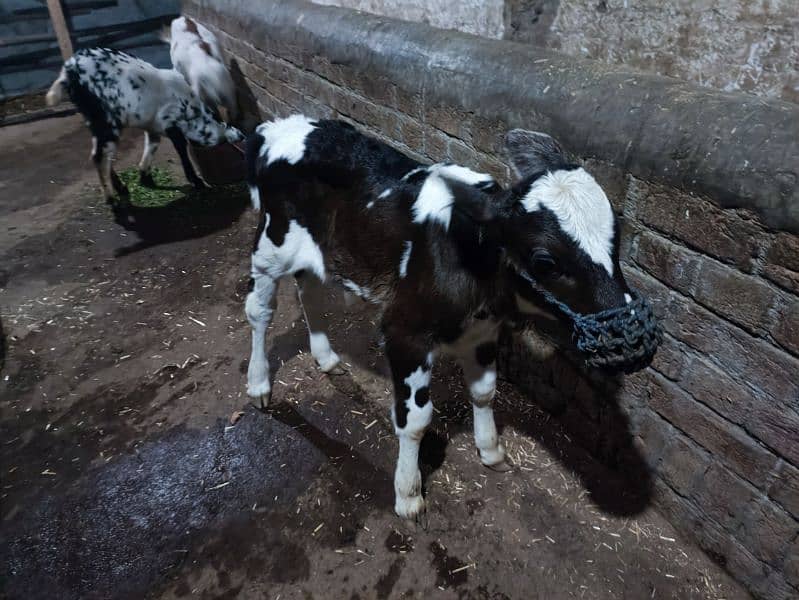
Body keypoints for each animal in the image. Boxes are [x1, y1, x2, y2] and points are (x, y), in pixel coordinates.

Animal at [46, 47, 241, 202]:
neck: (194, 112)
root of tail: (68, 72)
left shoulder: (153, 126)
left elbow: (152, 145)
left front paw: (146, 178)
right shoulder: (171, 121)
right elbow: (181, 148)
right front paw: (197, 182)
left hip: (94, 121)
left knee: (104, 154)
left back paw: (121, 189)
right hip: (107, 120)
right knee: (99, 156)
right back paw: (111, 199)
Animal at [245, 116, 656, 520]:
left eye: (616, 239)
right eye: (545, 260)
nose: (632, 340)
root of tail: (275, 127)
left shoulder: (483, 332)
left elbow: (485, 391)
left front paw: (490, 450)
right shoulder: (403, 331)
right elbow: (415, 418)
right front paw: (408, 494)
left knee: (309, 293)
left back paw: (326, 357)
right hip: (271, 246)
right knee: (260, 311)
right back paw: (259, 383)